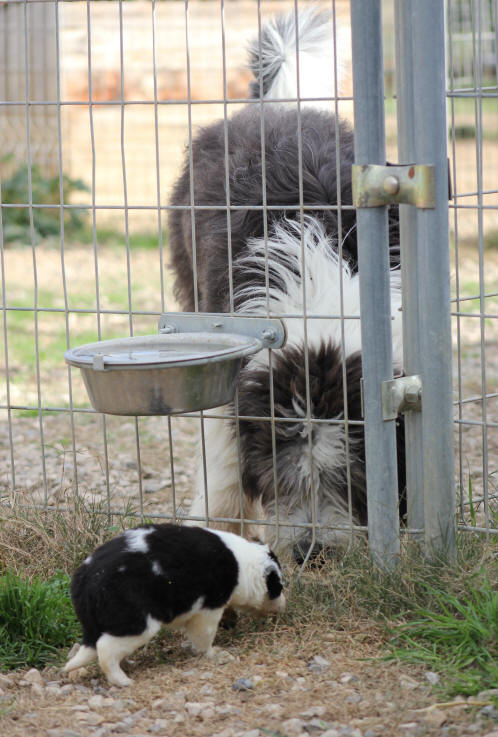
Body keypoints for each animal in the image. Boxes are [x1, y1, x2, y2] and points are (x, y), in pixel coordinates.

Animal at [169, 5, 406, 560]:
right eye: (283, 478)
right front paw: (221, 524)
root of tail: (279, 107)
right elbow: (226, 457)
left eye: (351, 481)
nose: (312, 550)